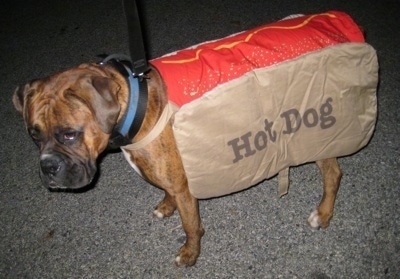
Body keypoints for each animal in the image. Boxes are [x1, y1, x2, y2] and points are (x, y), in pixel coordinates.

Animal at [10, 12, 376, 268]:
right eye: (33, 135)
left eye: (69, 134)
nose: (48, 168)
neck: (138, 104)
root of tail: (345, 22)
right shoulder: (170, 177)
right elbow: (167, 192)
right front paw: (165, 206)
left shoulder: (187, 190)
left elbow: (191, 226)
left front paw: (189, 253)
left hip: (322, 138)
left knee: (333, 175)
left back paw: (323, 214)